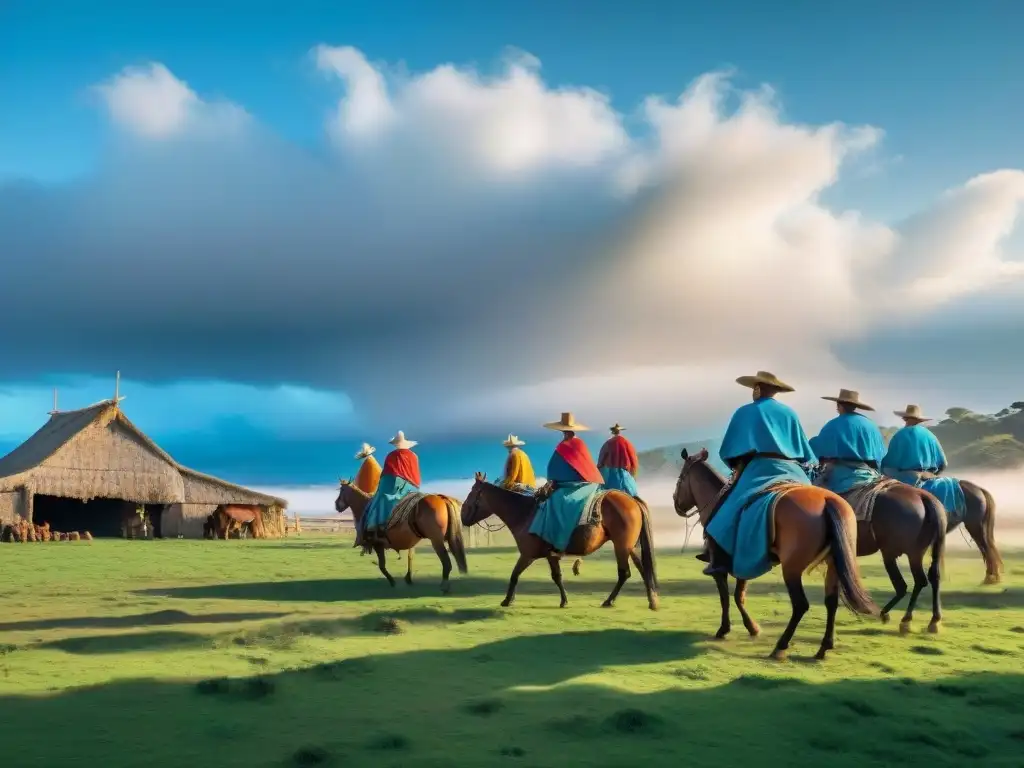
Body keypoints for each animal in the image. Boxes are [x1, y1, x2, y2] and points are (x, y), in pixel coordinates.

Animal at [333, 481, 466, 593]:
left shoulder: (377, 544)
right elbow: (410, 558)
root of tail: (441, 498)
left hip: (436, 540)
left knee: (446, 562)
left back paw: (444, 586)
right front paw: (408, 578)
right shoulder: (410, 543)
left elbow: (382, 566)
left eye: (342, 490)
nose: (336, 505)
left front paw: (393, 581)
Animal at [460, 473, 659, 610]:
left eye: (472, 494)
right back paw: (652, 600)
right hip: (629, 547)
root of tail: (631, 499)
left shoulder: (527, 555)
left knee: (624, 573)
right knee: (643, 569)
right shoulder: (551, 555)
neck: (524, 513)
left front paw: (507, 600)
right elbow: (557, 576)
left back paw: (609, 601)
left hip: (621, 546)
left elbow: (514, 575)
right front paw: (564, 600)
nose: (462, 517)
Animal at [671, 448, 880, 663]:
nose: (676, 503)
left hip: (791, 569)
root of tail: (827, 501)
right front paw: (751, 628)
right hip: (833, 565)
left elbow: (726, 598)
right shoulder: (743, 561)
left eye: (680, 479)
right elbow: (739, 596)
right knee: (831, 602)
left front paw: (727, 629)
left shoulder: (721, 567)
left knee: (800, 605)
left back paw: (780, 646)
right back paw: (823, 648)